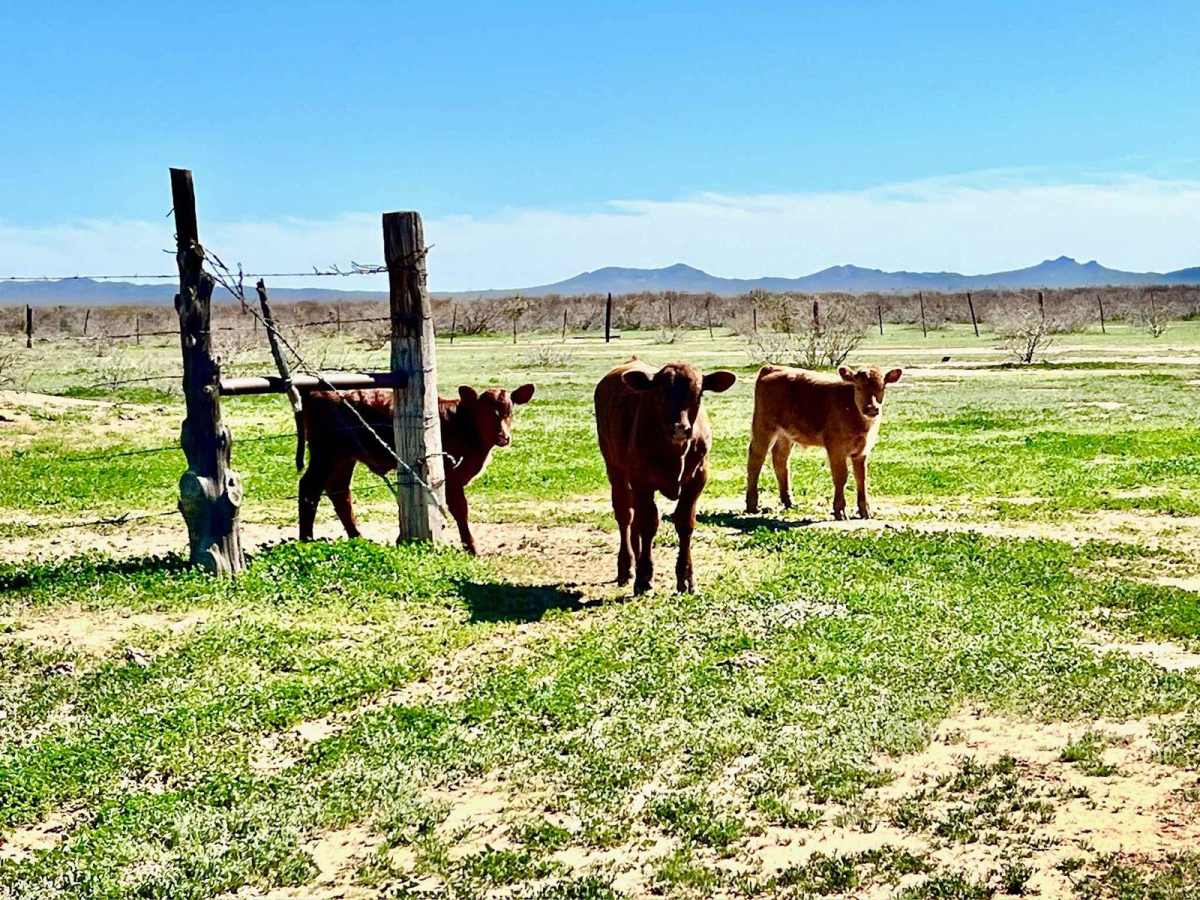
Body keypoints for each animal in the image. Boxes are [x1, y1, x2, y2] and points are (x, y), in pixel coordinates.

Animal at [297, 383, 535, 553]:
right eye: (485, 413)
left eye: (509, 411)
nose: (503, 437)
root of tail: (315, 390)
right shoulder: (451, 476)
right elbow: (461, 509)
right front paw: (472, 548)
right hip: (325, 453)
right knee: (309, 487)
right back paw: (306, 539)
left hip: (344, 458)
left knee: (339, 492)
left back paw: (357, 537)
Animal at [595, 359, 736, 594]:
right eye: (660, 392)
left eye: (699, 393)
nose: (679, 428)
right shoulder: (641, 480)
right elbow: (648, 523)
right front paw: (644, 578)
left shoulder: (697, 479)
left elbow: (685, 523)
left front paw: (686, 578)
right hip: (615, 469)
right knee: (626, 516)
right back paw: (627, 567)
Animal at [746, 364, 902, 520]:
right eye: (858, 387)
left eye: (882, 387)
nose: (872, 409)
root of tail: (773, 367)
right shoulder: (835, 448)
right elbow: (841, 477)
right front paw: (840, 510)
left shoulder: (862, 452)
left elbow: (861, 479)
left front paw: (866, 512)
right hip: (763, 427)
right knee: (756, 459)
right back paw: (752, 504)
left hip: (785, 435)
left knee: (780, 459)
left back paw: (789, 502)